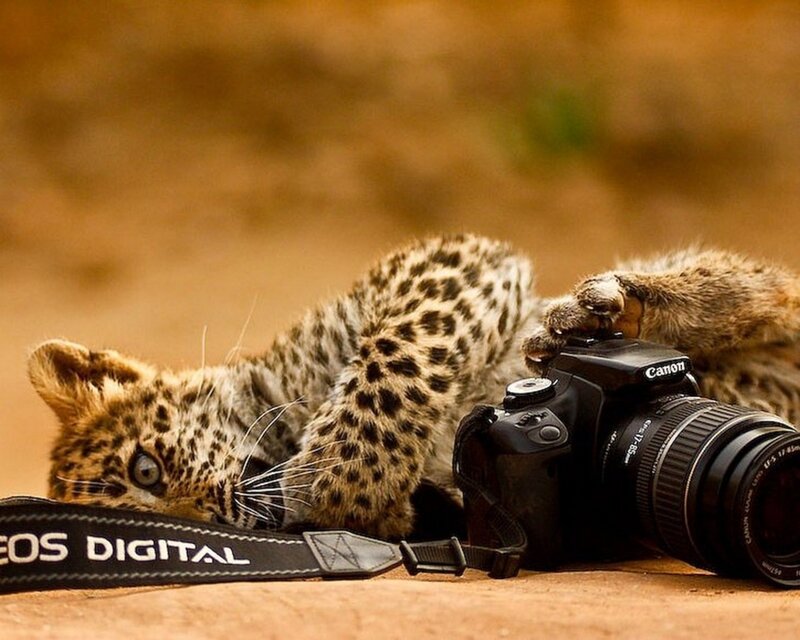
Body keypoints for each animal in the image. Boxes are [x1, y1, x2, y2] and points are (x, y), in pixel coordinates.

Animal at [27, 234, 800, 540]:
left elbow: (393, 355)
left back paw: (606, 308)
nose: (213, 521)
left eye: (147, 470)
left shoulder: (448, 263)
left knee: (770, 290)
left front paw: (338, 483)